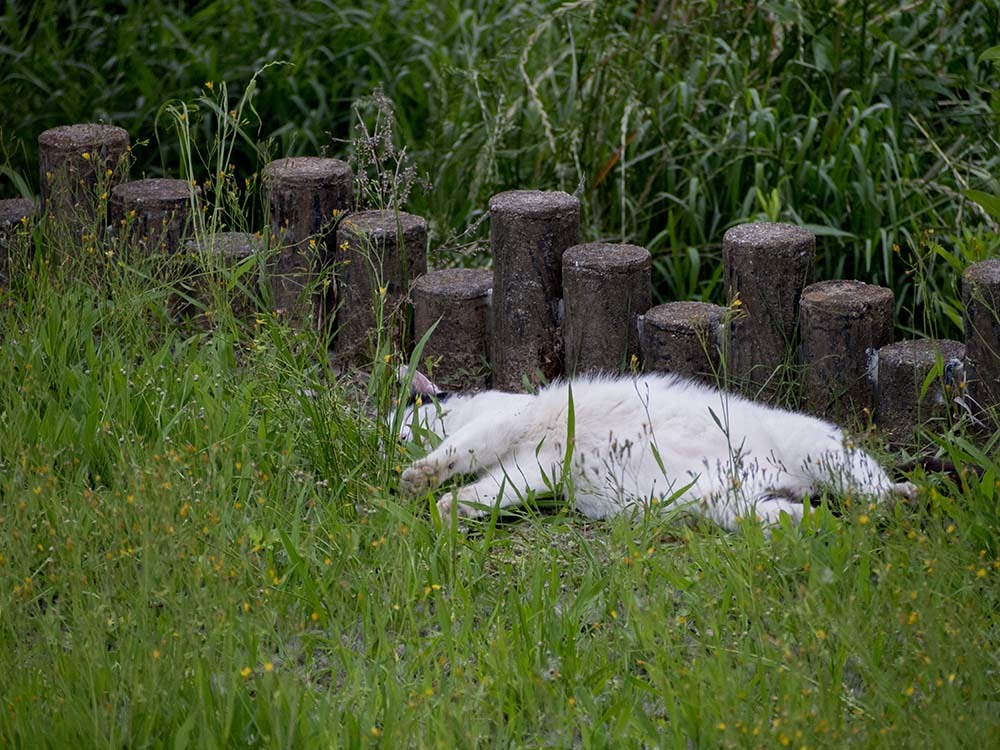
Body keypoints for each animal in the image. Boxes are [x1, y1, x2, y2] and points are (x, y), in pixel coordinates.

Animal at [398, 374, 916, 532]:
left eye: (402, 425)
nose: (394, 443)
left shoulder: (506, 422)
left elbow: (458, 450)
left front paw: (420, 475)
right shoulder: (534, 468)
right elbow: (491, 489)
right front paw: (451, 508)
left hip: (821, 449)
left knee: (871, 486)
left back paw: (902, 497)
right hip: (739, 507)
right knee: (809, 517)